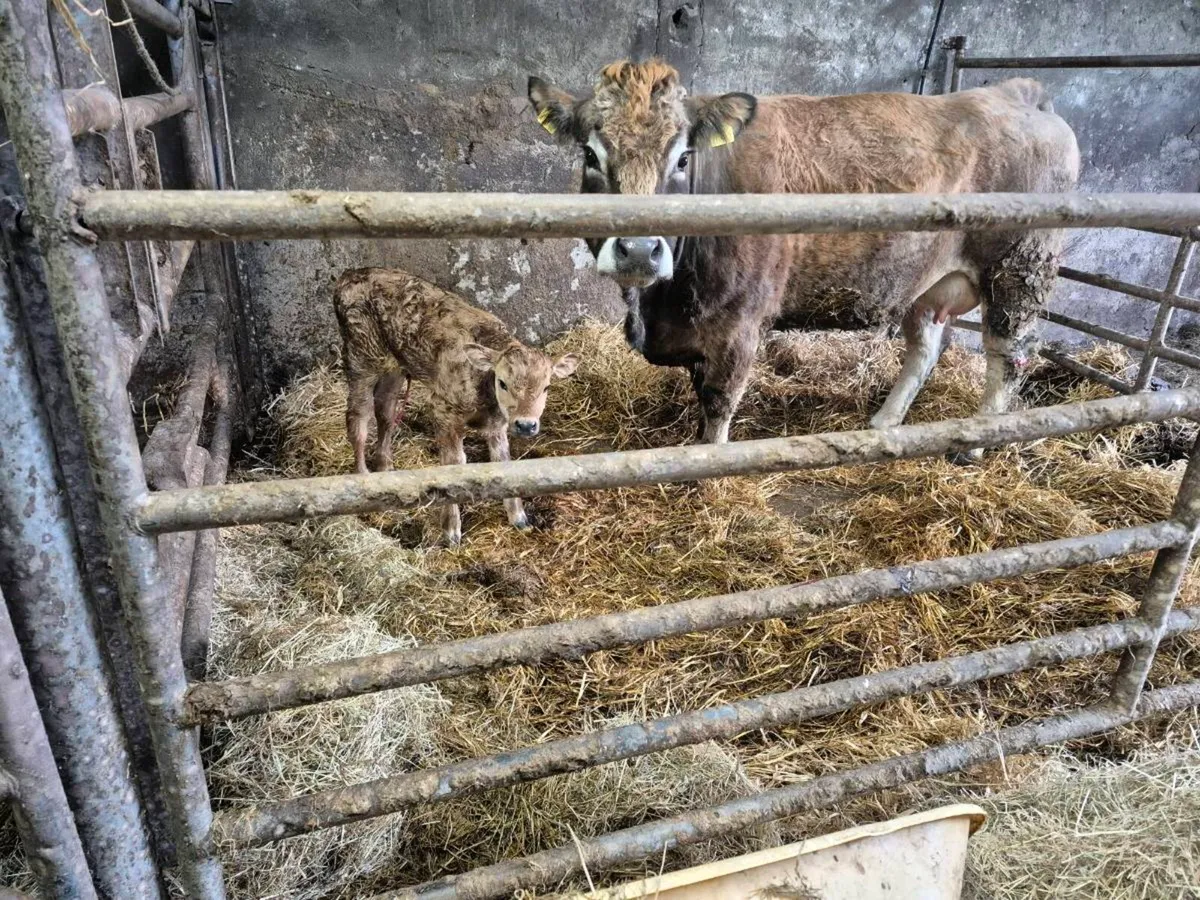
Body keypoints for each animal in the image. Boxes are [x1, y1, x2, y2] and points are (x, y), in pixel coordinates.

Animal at [334, 268, 579, 544]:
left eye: (546, 387)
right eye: (502, 383)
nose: (526, 425)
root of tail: (350, 274)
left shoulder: (497, 424)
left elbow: (503, 461)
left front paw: (518, 518)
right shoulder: (442, 411)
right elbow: (453, 465)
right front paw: (451, 530)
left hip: (394, 365)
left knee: (385, 410)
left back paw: (385, 469)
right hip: (361, 356)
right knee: (358, 417)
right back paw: (363, 480)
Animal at [527, 59, 1080, 449]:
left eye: (683, 158)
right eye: (590, 155)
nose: (639, 249)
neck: (659, 307)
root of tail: (1011, 93)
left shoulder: (739, 325)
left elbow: (718, 401)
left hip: (1018, 272)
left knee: (1010, 355)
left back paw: (975, 445)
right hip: (926, 282)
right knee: (926, 348)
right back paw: (884, 421)